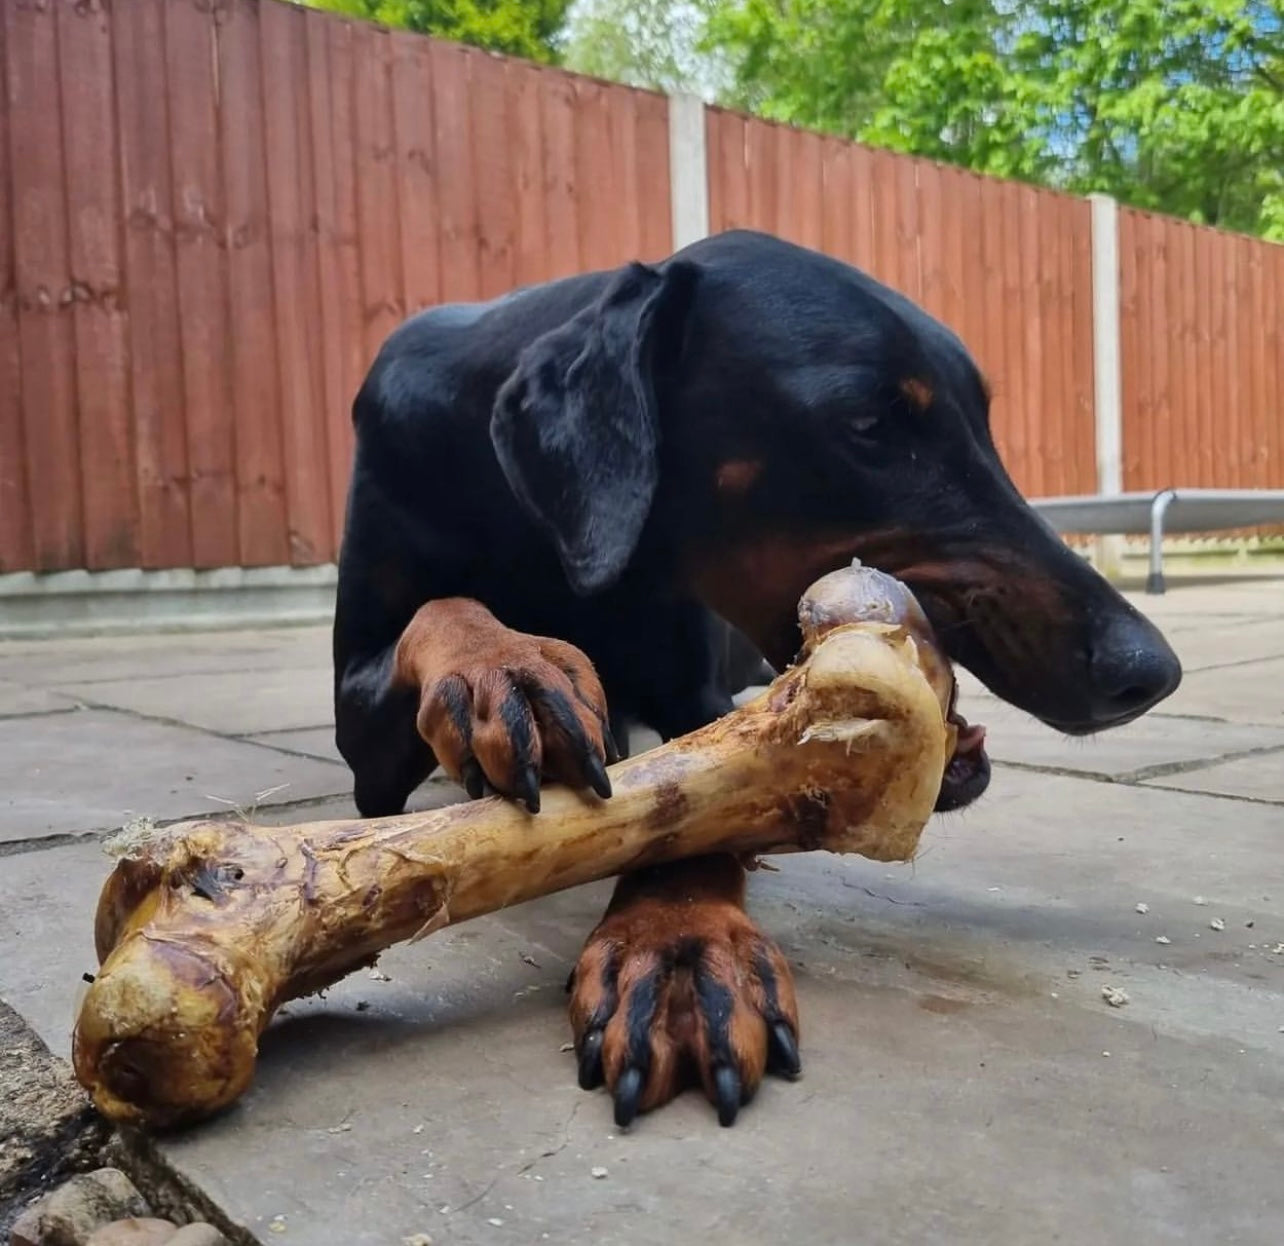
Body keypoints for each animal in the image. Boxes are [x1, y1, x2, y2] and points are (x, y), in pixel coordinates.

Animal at [333, 226, 1181, 1125]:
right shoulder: (361, 726)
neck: (538, 523)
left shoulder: (693, 694)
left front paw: (676, 947)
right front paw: (505, 665)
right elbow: (441, 610)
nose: (1149, 669)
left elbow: (690, 807)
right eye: (870, 423)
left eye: (983, 422)